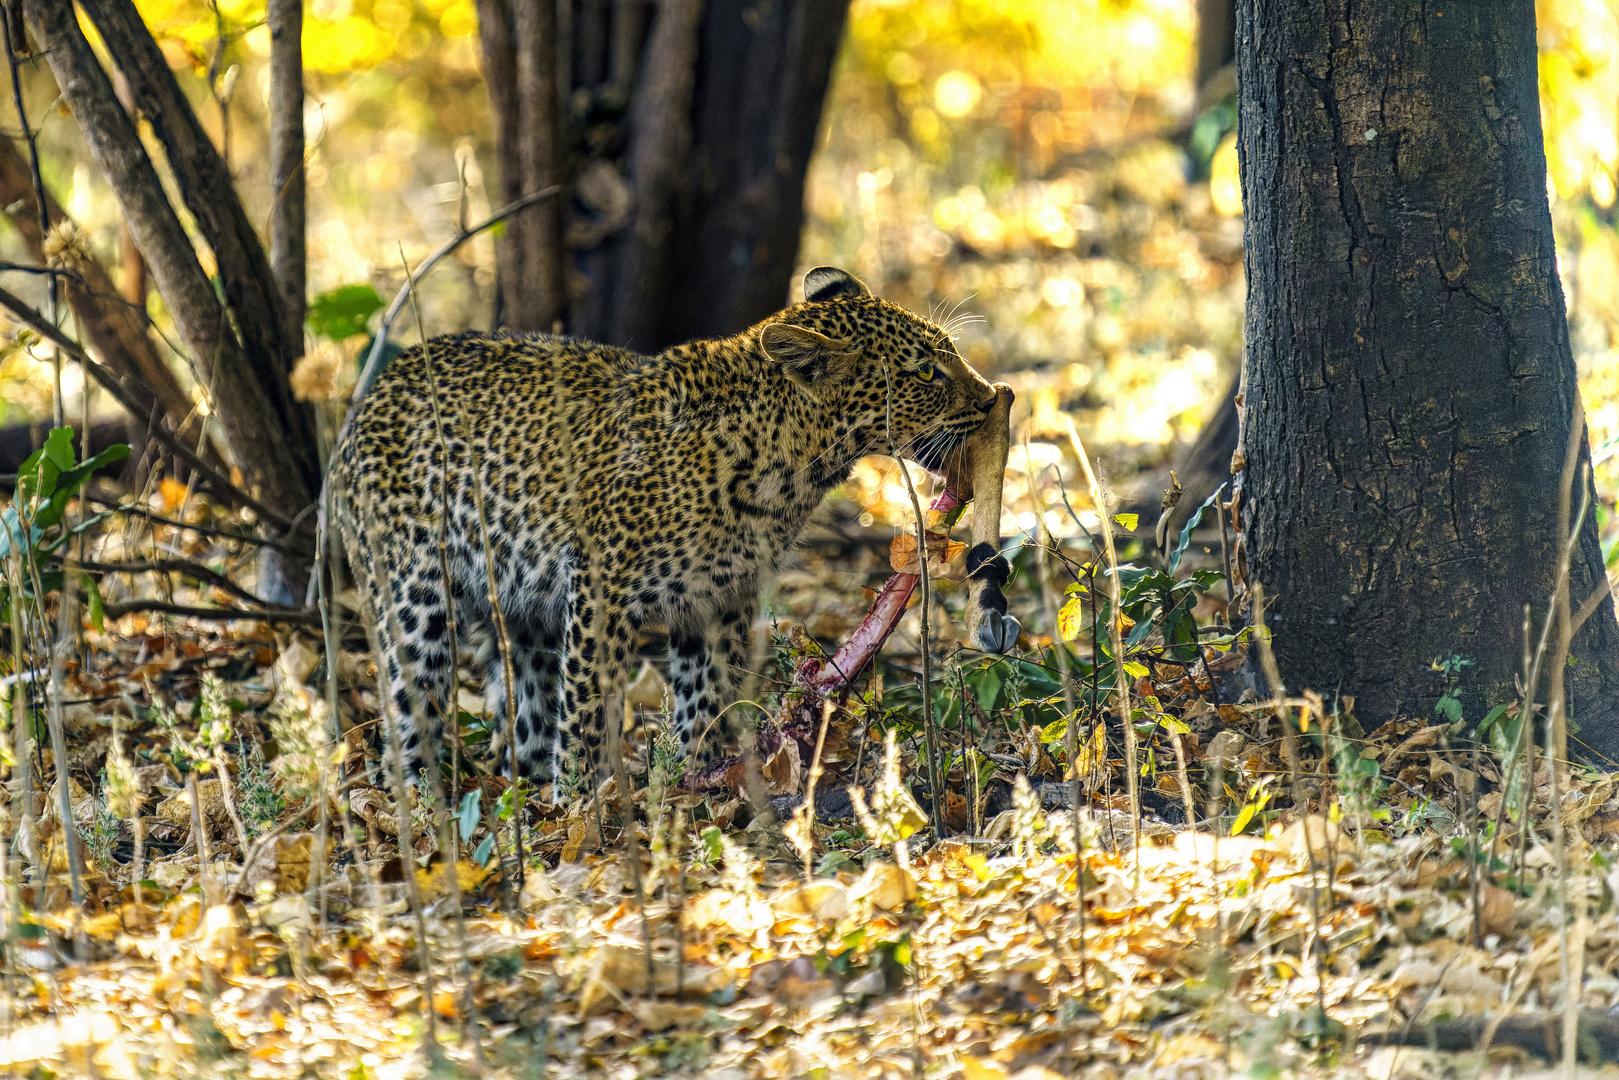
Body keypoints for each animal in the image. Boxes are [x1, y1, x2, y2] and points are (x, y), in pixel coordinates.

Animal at [331, 262, 997, 786]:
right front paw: (586, 813)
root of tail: (372, 393)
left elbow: (707, 696)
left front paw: (696, 780)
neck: (790, 469)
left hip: (527, 610)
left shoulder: (721, 597)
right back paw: (429, 810)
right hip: (413, 600)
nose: (993, 397)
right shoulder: (601, 588)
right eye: (925, 373)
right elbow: (589, 708)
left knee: (530, 712)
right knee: (410, 715)